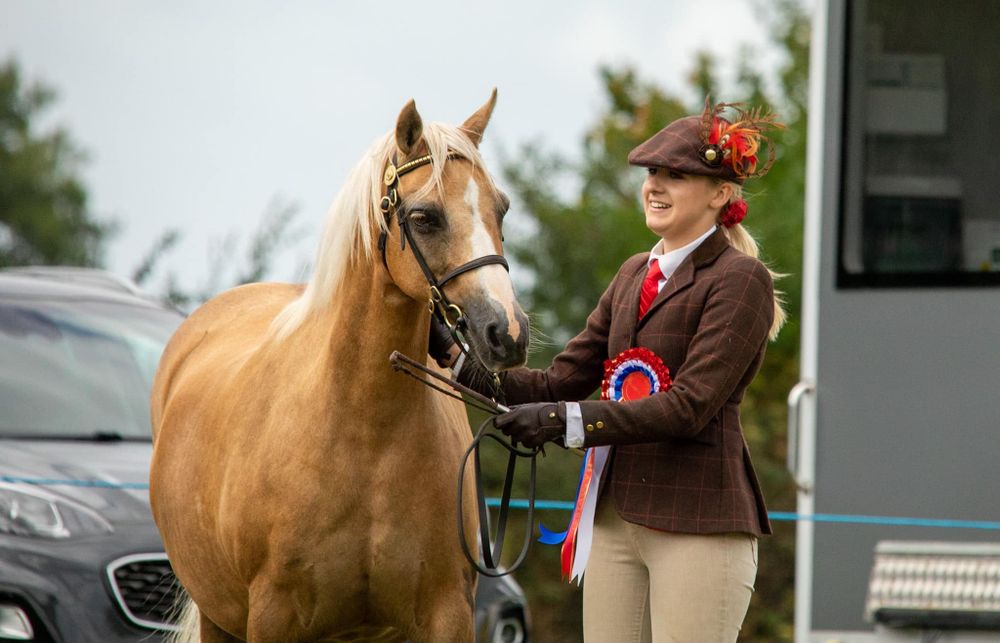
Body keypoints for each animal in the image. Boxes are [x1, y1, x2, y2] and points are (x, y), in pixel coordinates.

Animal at [149, 91, 529, 642]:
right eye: (425, 217)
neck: (365, 434)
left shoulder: (448, 616)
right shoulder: (272, 618)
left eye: (501, 209)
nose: (507, 332)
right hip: (217, 618)